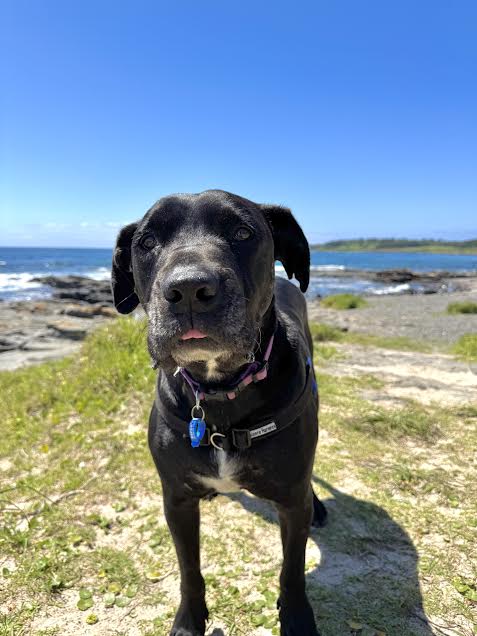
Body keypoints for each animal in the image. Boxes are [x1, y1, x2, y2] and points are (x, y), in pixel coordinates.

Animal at [111, 190, 327, 636]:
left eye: (242, 232)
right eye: (147, 242)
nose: (189, 288)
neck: (218, 389)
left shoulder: (292, 504)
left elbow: (292, 571)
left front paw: (297, 619)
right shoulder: (176, 500)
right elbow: (189, 571)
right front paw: (188, 621)